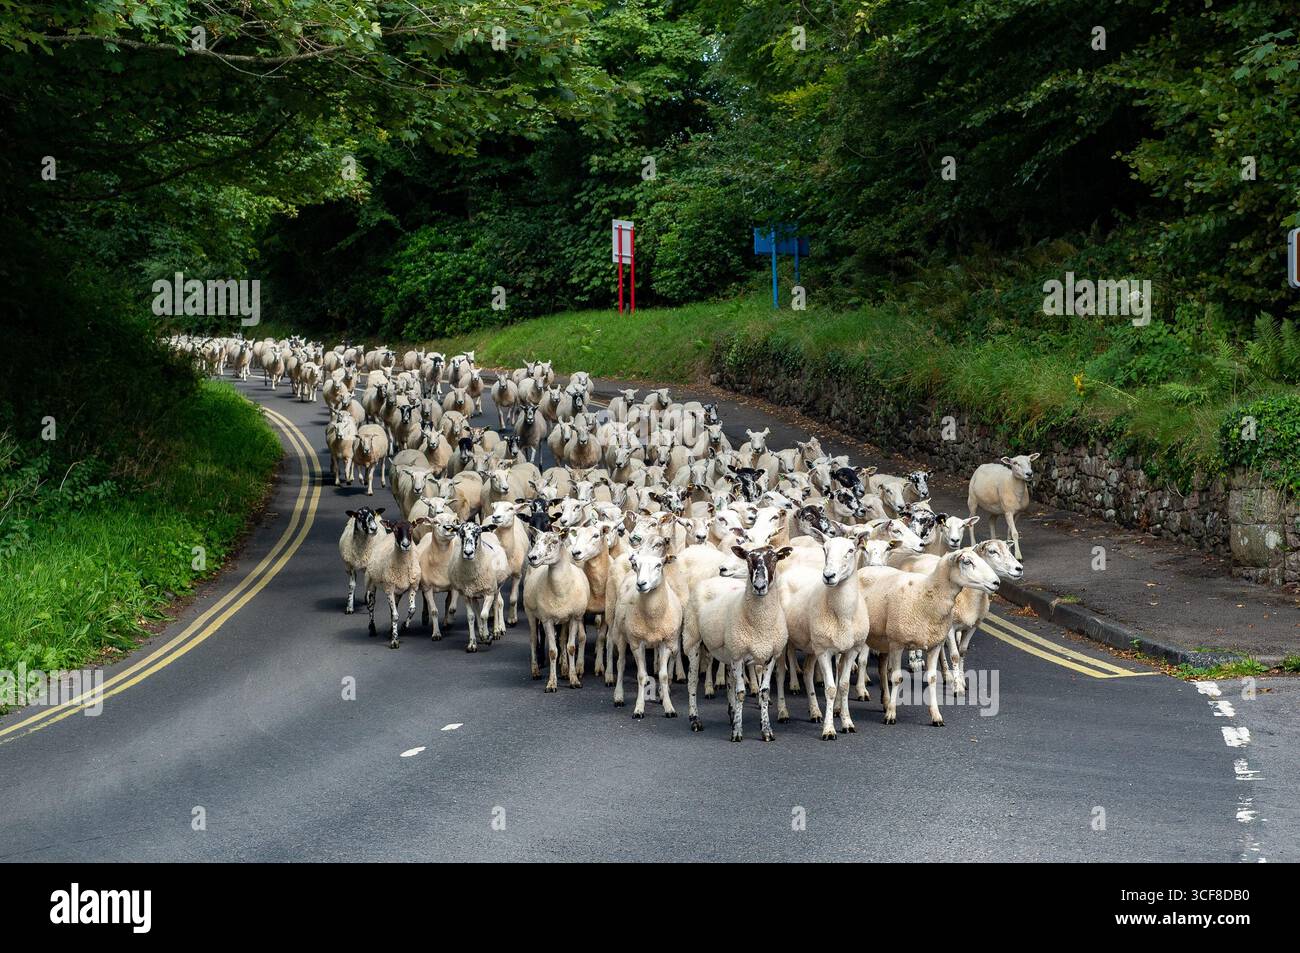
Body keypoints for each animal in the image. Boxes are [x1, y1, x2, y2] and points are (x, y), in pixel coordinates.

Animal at [364, 519, 424, 649]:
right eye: (396, 530)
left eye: (411, 529)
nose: (405, 545)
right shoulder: (389, 588)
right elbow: (396, 616)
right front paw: (394, 641)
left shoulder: (413, 587)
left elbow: (412, 609)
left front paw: (404, 627)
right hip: (371, 583)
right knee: (371, 605)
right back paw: (372, 629)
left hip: (397, 593)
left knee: (393, 610)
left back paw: (390, 631)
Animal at [447, 520, 509, 652]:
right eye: (461, 533)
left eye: (477, 533)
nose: (468, 553)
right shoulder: (466, 594)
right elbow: (471, 616)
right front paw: (472, 644)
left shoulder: (489, 592)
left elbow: (484, 615)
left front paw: (487, 637)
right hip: (475, 593)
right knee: (476, 608)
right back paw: (481, 631)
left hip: (496, 588)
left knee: (496, 605)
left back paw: (496, 631)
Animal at [523, 528, 592, 691]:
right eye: (536, 540)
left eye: (554, 541)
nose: (532, 557)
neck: (560, 590)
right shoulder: (547, 620)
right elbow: (552, 651)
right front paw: (551, 683)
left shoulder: (574, 617)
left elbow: (570, 647)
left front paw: (574, 680)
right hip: (530, 612)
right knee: (533, 639)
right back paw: (535, 671)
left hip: (564, 620)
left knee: (561, 640)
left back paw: (565, 670)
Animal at [683, 544, 794, 741]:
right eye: (748, 559)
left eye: (774, 559)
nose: (759, 586)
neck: (760, 624)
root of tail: (711, 579)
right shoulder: (739, 655)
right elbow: (741, 693)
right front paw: (737, 732)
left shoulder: (769, 655)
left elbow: (764, 693)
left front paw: (766, 730)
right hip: (692, 638)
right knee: (693, 681)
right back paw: (695, 720)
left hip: (728, 648)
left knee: (729, 681)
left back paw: (732, 713)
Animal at [858, 548, 1000, 725]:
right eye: (967, 562)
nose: (996, 582)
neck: (927, 593)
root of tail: (865, 569)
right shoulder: (897, 644)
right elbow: (897, 678)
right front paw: (891, 714)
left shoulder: (934, 645)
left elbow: (932, 678)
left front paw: (936, 715)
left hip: (883, 639)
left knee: (882, 668)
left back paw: (885, 701)